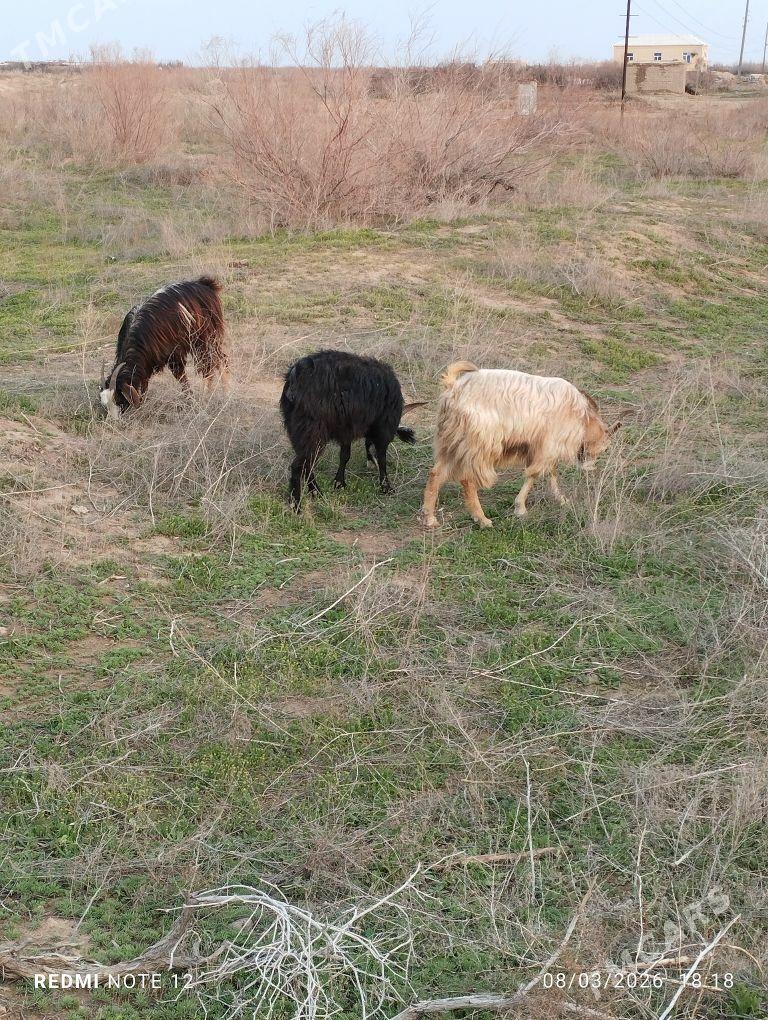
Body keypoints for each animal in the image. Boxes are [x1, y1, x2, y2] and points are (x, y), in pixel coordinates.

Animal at [99, 276, 228, 418]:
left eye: (120, 401)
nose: (115, 420)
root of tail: (205, 284)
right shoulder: (146, 364)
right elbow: (144, 384)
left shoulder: (174, 355)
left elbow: (181, 377)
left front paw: (191, 401)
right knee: (220, 359)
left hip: (205, 338)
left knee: (210, 365)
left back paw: (211, 395)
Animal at [279, 350, 423, 508]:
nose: (369, 465)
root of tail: (297, 373)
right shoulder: (382, 430)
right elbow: (382, 457)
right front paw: (386, 487)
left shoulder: (346, 429)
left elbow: (345, 455)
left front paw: (339, 482)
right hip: (312, 432)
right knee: (299, 465)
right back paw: (297, 504)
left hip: (297, 429)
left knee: (307, 463)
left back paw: (316, 493)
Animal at [422, 361, 620, 529]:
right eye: (605, 447)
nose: (589, 467)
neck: (581, 417)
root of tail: (453, 388)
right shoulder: (548, 444)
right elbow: (535, 474)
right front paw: (521, 509)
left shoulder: (543, 446)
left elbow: (551, 471)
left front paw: (561, 499)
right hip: (479, 443)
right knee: (468, 479)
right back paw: (482, 519)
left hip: (450, 442)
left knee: (436, 473)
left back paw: (430, 518)